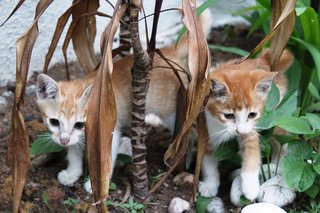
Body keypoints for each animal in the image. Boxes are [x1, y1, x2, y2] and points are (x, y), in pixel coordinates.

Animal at [199, 50, 294, 201]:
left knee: (281, 139)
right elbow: (208, 161)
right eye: (229, 116)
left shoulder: (250, 130)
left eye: (252, 115)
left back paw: (275, 166)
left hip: (275, 116)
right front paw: (210, 185)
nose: (240, 131)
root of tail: (263, 60)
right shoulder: (205, 127)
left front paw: (250, 187)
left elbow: (252, 152)